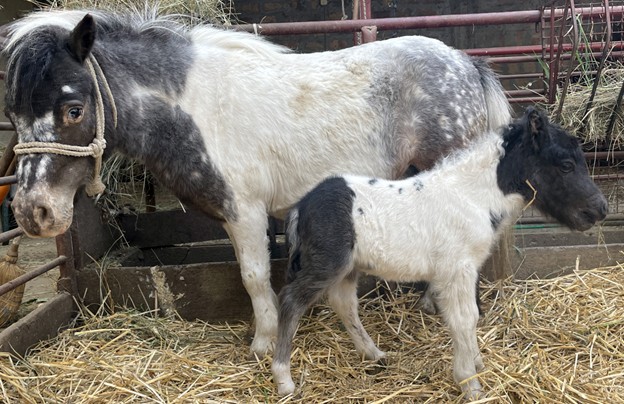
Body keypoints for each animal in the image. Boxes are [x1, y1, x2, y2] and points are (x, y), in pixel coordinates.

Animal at [3, 9, 511, 356]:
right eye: (15, 114)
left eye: (73, 109)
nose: (33, 212)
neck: (192, 108)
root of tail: (467, 65)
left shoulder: (243, 211)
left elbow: (253, 276)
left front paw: (264, 344)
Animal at [271, 107, 607, 398]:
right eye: (566, 165)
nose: (600, 209)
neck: (472, 196)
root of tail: (301, 207)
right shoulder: (457, 269)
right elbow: (464, 318)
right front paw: (470, 383)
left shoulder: (464, 270)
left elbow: (470, 317)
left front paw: (477, 363)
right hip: (327, 264)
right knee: (291, 300)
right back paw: (283, 379)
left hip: (348, 267)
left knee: (344, 304)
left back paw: (374, 354)